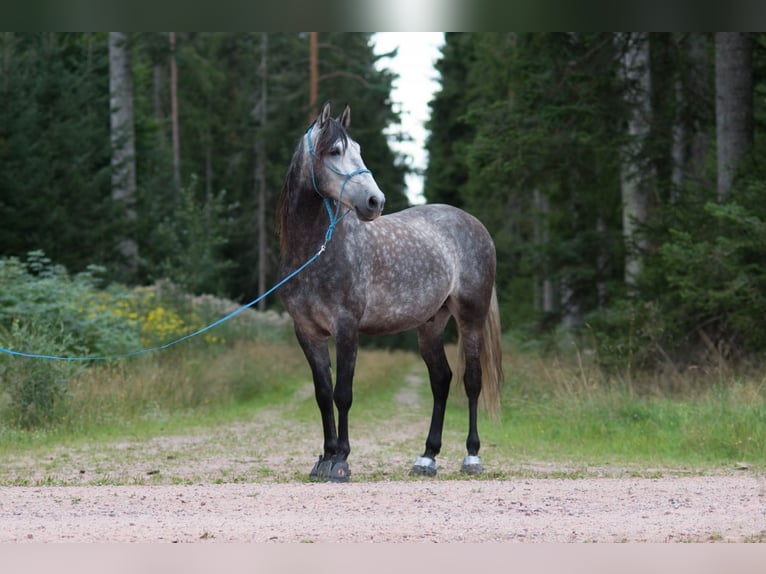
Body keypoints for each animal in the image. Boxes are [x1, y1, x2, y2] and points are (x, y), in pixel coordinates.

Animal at [276, 102, 504, 482]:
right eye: (334, 151)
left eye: (358, 150)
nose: (375, 201)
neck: (316, 251)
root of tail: (474, 224)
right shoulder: (307, 332)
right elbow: (323, 394)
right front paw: (324, 460)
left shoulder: (346, 328)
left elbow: (343, 394)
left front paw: (341, 461)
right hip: (431, 323)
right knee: (441, 380)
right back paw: (427, 458)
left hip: (470, 316)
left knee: (472, 380)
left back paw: (472, 456)